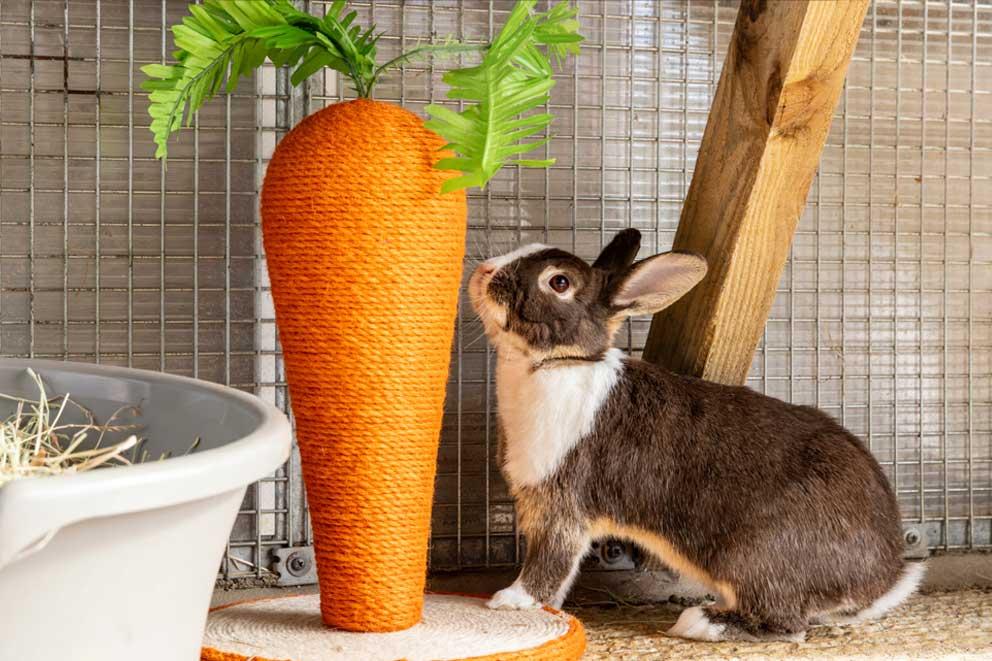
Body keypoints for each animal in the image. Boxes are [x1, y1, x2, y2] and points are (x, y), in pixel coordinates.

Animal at [466, 229, 924, 640]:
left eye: (559, 282)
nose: (483, 272)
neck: (557, 363)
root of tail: (881, 580)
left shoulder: (561, 507)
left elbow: (549, 563)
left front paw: (510, 601)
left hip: (752, 556)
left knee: (786, 624)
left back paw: (702, 622)